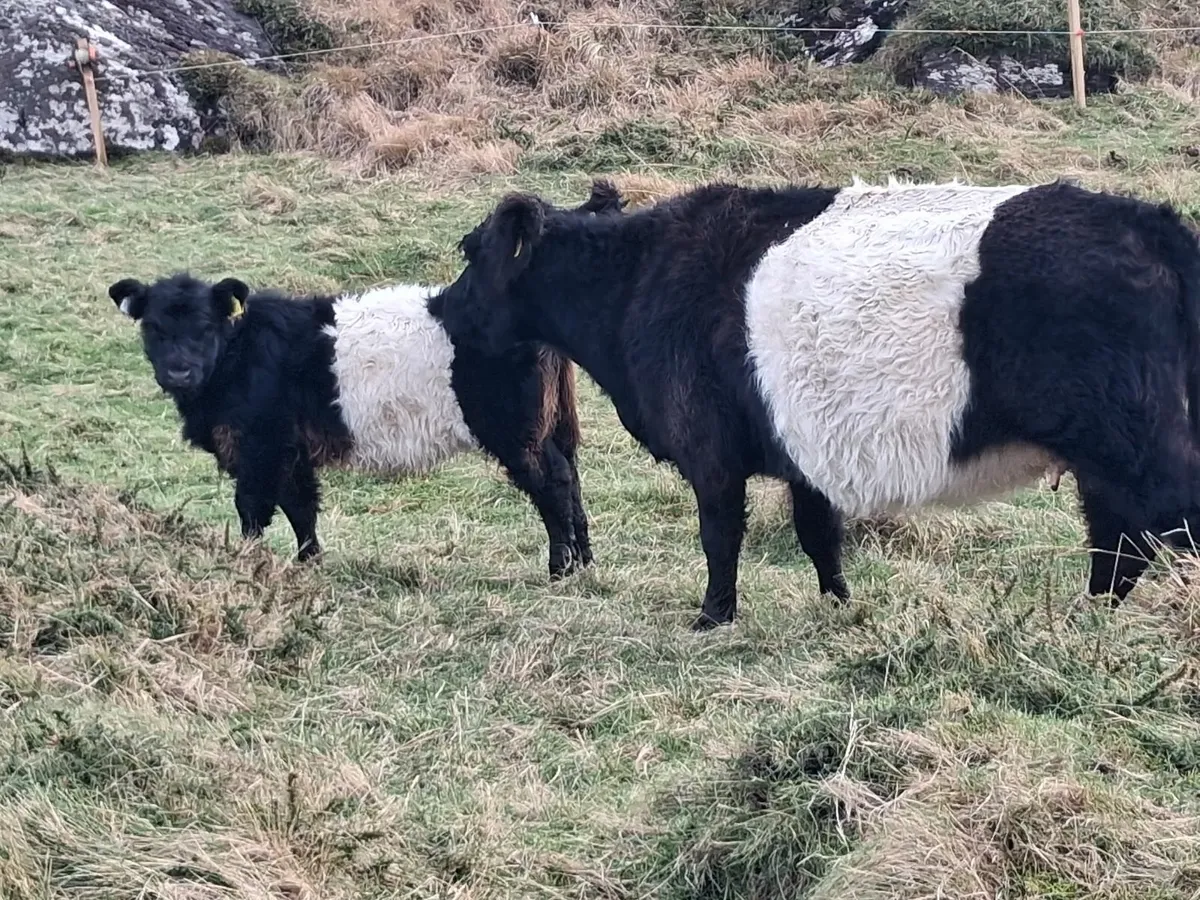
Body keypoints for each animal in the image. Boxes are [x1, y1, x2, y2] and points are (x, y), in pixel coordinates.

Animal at [108, 181, 628, 577]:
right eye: (153, 327)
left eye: (204, 326)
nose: (178, 370)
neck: (237, 356)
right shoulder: (293, 451)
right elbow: (302, 508)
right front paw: (309, 564)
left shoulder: (260, 447)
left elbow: (253, 510)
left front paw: (248, 565)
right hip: (555, 424)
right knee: (572, 479)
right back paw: (585, 562)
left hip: (514, 430)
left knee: (552, 484)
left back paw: (559, 568)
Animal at [432, 177, 1200, 630]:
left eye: (471, 250)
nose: (441, 307)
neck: (639, 280)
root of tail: (1149, 224)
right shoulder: (808, 456)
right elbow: (818, 536)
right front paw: (840, 608)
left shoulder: (710, 451)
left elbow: (719, 537)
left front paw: (713, 618)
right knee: (1119, 544)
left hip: (1135, 449)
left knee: (1141, 536)